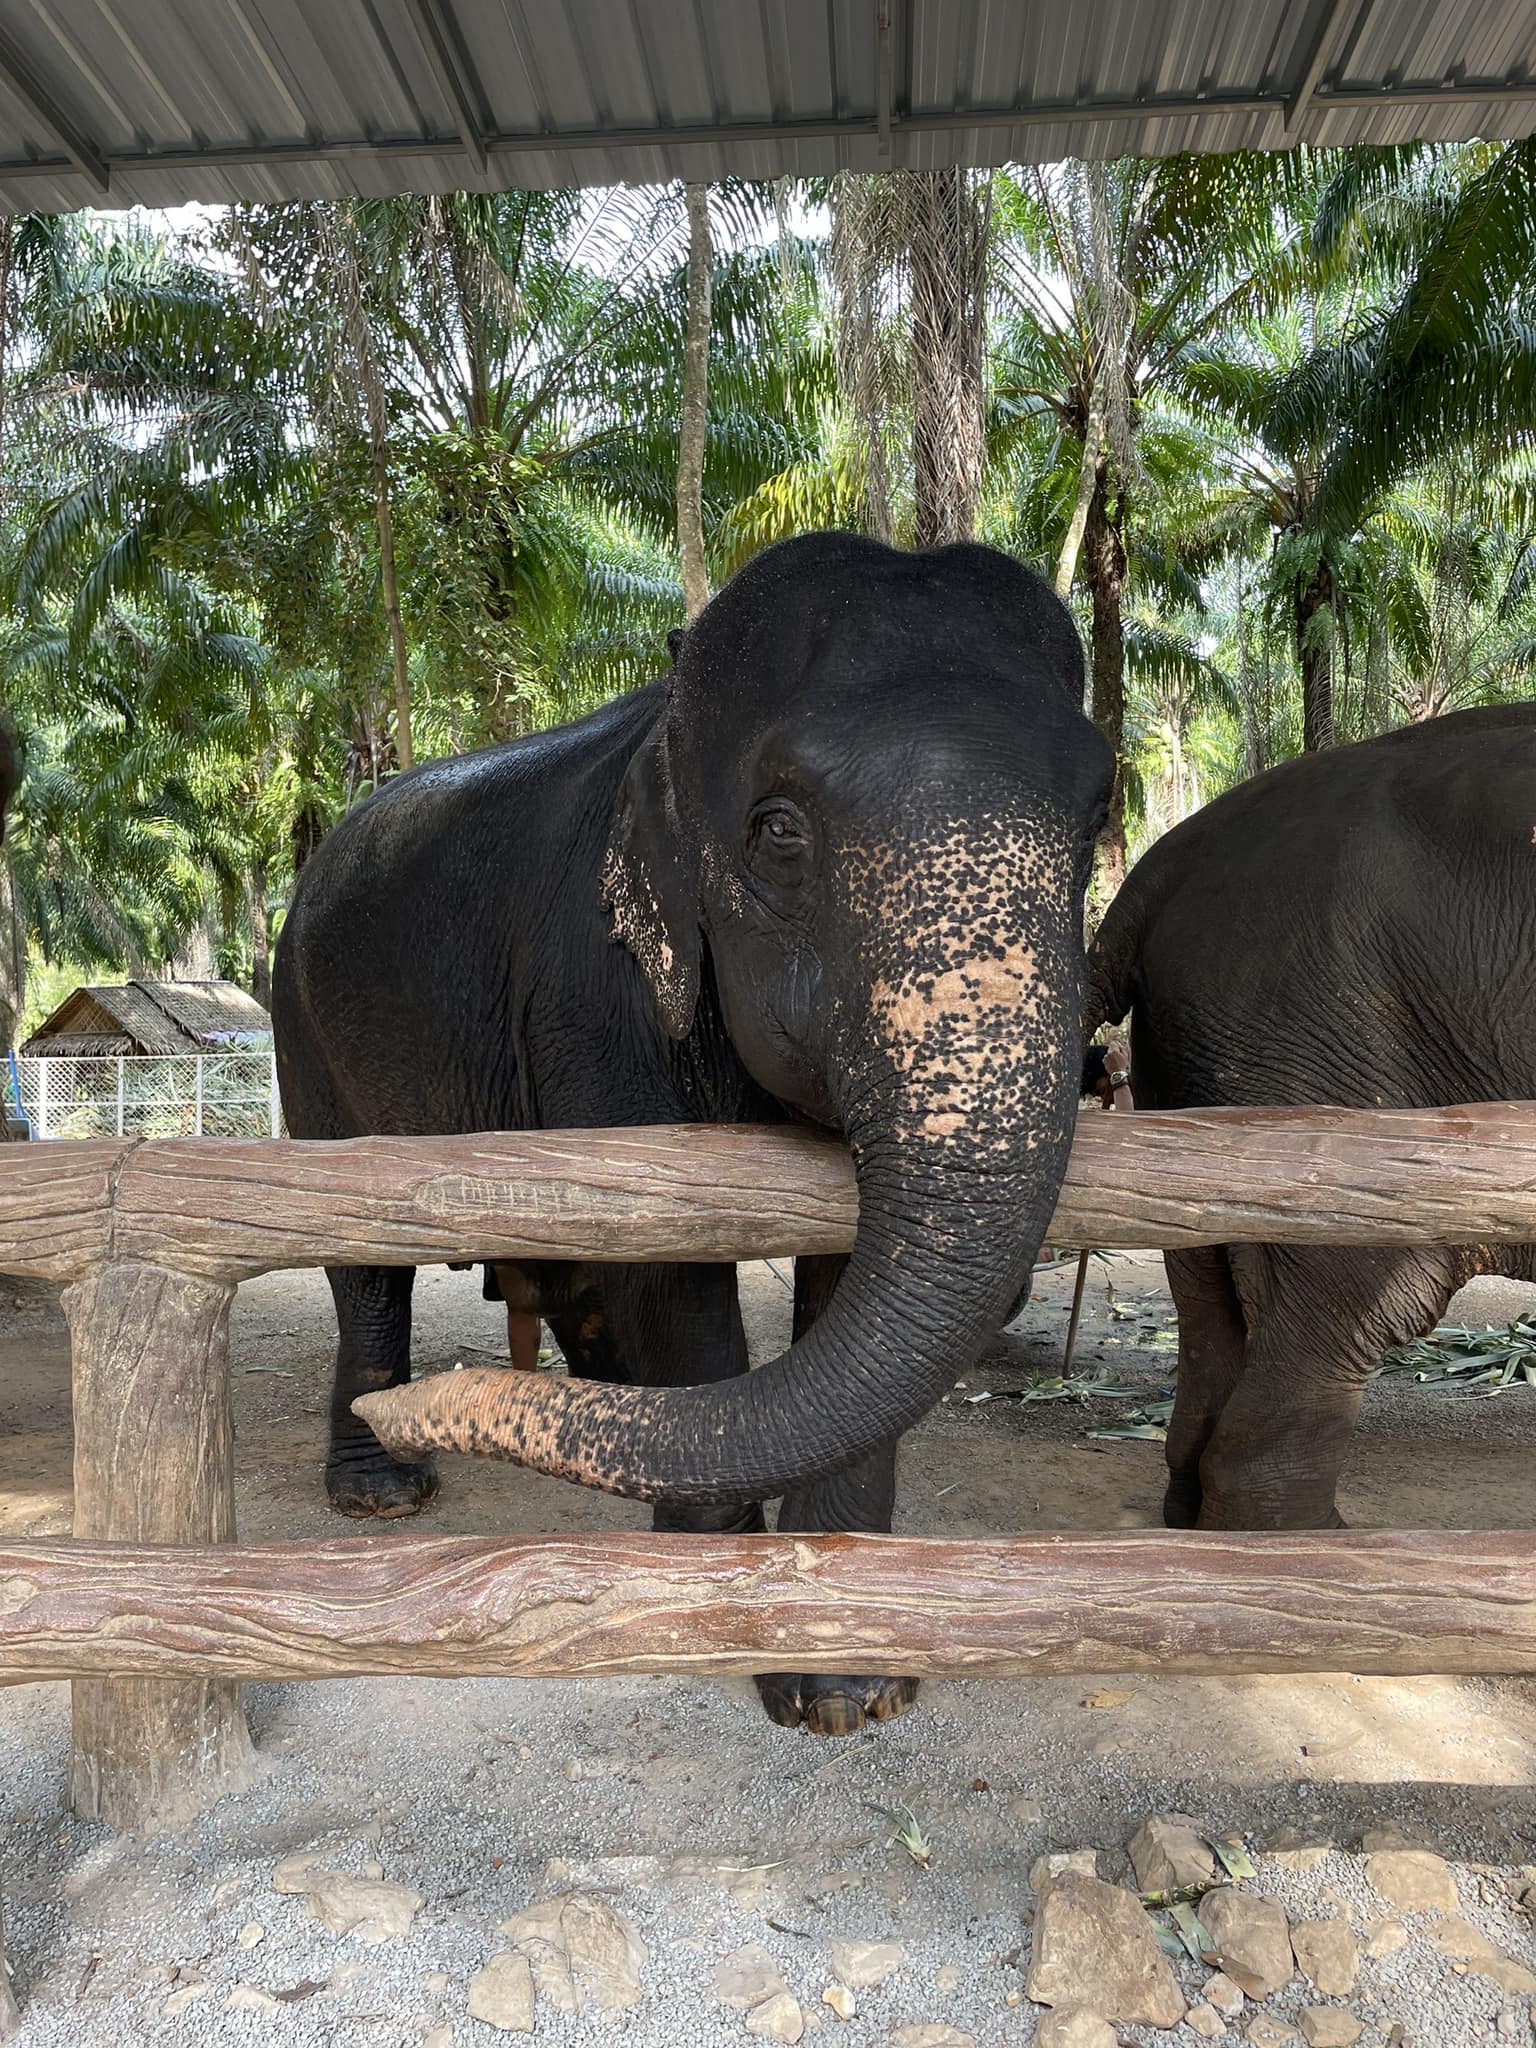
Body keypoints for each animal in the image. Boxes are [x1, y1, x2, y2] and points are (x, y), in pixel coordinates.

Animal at [273, 531, 1111, 1734]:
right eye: (778, 830)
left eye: (1100, 821)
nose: (421, 1414)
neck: (662, 727)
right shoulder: (589, 992)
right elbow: (670, 1257)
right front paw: (717, 1601)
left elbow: (839, 1268)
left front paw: (849, 1689)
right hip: (303, 1035)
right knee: (368, 1262)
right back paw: (380, 1491)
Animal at [1084, 702, 1536, 1532]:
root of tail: (1154, 873)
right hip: (1321, 1063)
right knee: (1348, 1294)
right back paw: (1316, 1547)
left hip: (1192, 1076)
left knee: (1206, 1307)